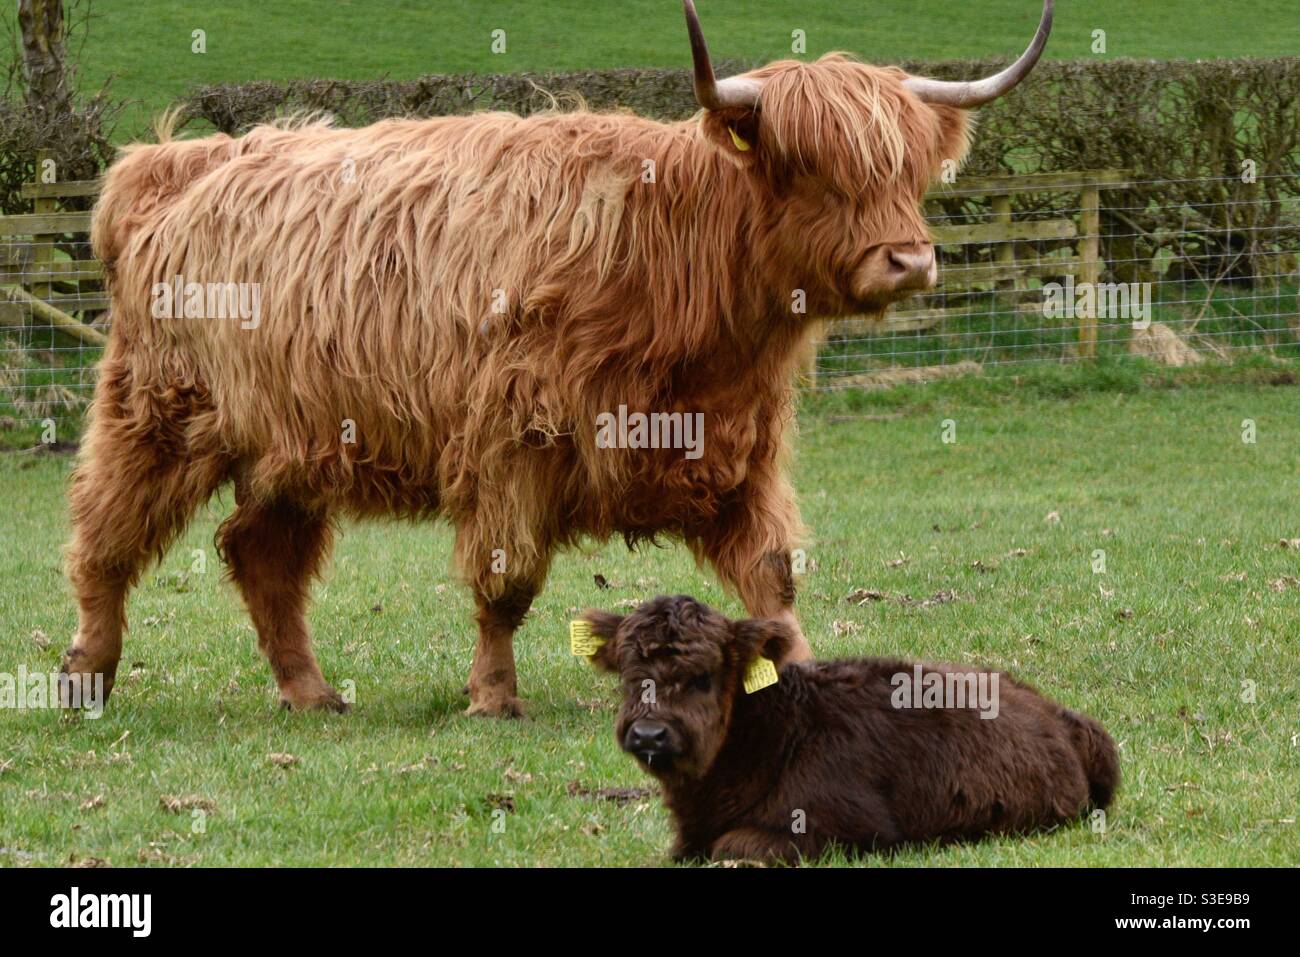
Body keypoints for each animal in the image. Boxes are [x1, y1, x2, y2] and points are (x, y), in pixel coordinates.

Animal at [61, 1, 1055, 717]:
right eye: (812, 167)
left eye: (909, 169)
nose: (911, 260)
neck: (673, 260)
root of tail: (177, 162)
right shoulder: (515, 441)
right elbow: (506, 582)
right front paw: (493, 697)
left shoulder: (738, 441)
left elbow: (772, 575)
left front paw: (800, 671)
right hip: (157, 408)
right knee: (106, 538)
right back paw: (87, 673)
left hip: (293, 437)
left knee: (259, 552)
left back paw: (310, 693)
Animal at [580, 595, 1119, 863]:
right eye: (628, 675)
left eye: (703, 677)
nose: (649, 734)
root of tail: (1065, 718)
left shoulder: (845, 828)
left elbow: (731, 845)